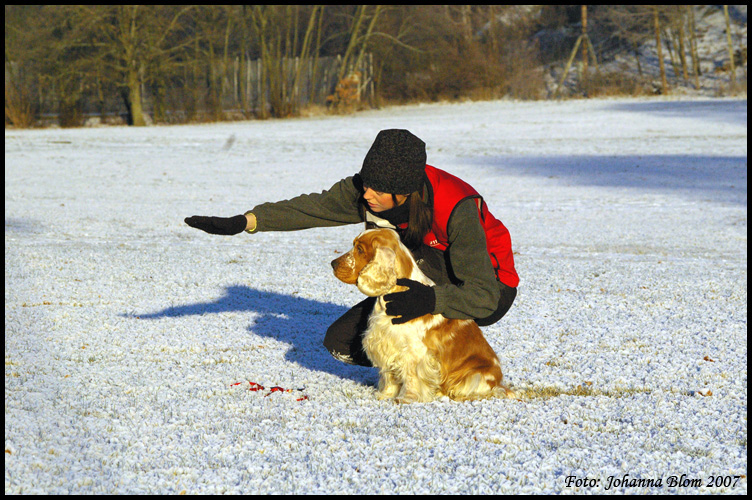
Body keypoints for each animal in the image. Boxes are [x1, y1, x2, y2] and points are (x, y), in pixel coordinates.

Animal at [332, 229, 516, 404]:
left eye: (360, 249)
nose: (333, 263)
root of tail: (500, 382)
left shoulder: (414, 352)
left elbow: (411, 378)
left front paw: (405, 399)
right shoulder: (385, 344)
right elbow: (389, 375)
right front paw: (385, 395)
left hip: (474, 375)